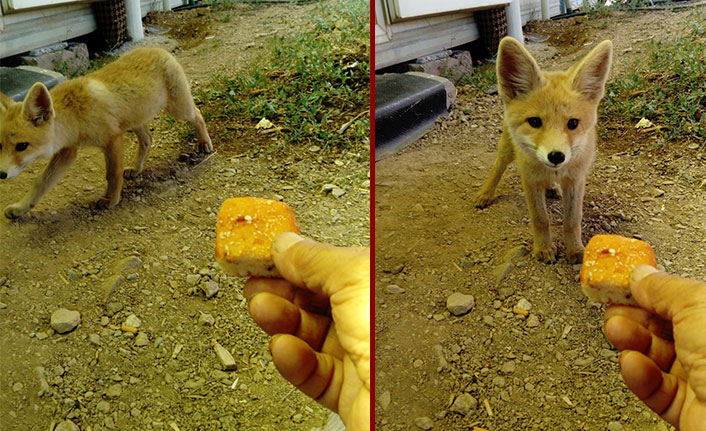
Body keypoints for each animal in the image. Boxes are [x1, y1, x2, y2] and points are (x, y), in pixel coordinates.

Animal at [0, 47, 210, 219]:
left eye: (22, 146)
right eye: (0, 145)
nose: (1, 174)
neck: (75, 116)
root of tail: (158, 48)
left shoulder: (112, 138)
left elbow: (113, 174)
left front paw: (112, 200)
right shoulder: (67, 151)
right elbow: (40, 185)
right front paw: (20, 208)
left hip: (179, 109)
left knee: (198, 114)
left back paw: (205, 143)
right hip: (135, 120)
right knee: (148, 140)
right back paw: (136, 167)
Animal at [472, 37, 612, 264]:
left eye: (573, 123)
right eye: (535, 122)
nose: (556, 156)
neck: (554, 171)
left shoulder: (575, 180)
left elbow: (572, 220)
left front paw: (575, 250)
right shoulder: (530, 179)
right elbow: (540, 219)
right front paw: (544, 248)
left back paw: (553, 188)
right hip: (507, 150)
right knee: (497, 168)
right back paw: (485, 194)